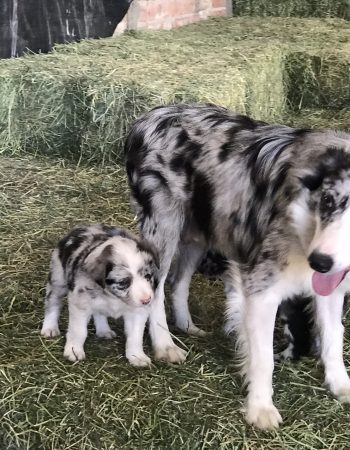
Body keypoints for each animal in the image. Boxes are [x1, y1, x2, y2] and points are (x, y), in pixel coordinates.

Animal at [39, 223, 159, 368]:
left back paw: (103, 330)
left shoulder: (138, 312)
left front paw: (137, 356)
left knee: (99, 312)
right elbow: (78, 331)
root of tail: (78, 228)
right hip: (58, 280)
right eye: (123, 282)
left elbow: (135, 336)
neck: (112, 296)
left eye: (148, 276)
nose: (147, 300)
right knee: (52, 302)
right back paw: (50, 328)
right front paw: (74, 351)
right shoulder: (80, 304)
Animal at [125, 102, 350, 428]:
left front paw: (341, 385)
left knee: (178, 282)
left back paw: (188, 326)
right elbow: (263, 358)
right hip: (164, 228)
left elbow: (334, 337)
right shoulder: (261, 289)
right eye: (329, 201)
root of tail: (148, 115)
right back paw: (165, 346)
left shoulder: (329, 287)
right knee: (156, 290)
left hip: (200, 231)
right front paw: (260, 409)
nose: (319, 262)